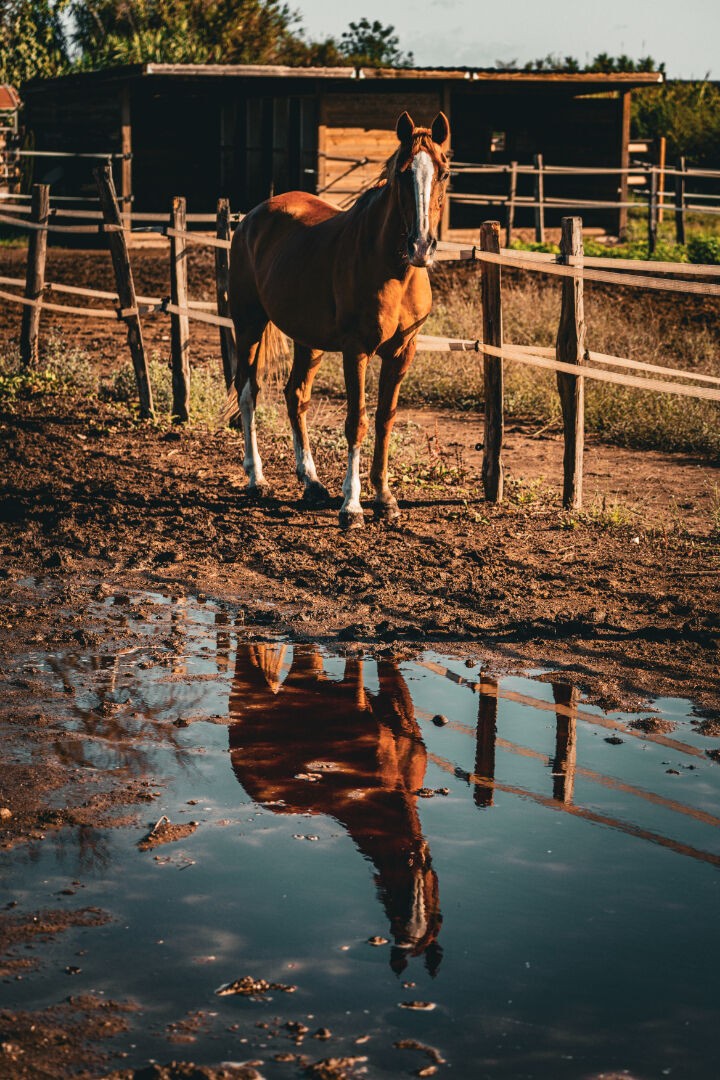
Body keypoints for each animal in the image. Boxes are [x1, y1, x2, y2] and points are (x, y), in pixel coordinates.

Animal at [229, 110, 451, 527]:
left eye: (444, 173)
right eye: (402, 172)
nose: (421, 246)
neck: (392, 269)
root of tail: (253, 217)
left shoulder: (403, 352)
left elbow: (384, 419)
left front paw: (385, 498)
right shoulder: (356, 351)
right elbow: (356, 421)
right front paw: (352, 506)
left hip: (307, 340)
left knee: (295, 395)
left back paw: (311, 482)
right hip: (248, 324)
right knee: (248, 391)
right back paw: (257, 478)